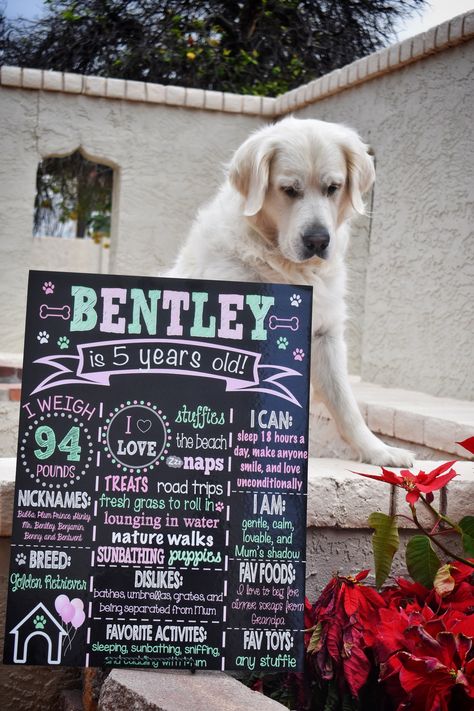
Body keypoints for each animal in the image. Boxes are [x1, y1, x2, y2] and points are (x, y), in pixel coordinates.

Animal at [168, 117, 412, 468]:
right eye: (289, 190)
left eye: (333, 187)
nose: (317, 240)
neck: (282, 263)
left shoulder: (325, 336)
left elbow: (347, 405)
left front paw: (379, 450)